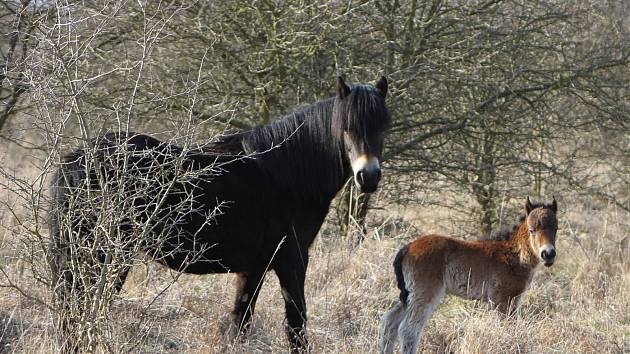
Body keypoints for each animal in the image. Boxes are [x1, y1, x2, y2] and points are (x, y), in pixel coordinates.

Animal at [50, 76, 390, 350]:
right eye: (346, 128)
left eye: (383, 127)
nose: (368, 177)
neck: (286, 172)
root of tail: (75, 162)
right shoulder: (292, 261)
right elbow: (296, 327)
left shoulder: (253, 269)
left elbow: (240, 324)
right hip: (103, 258)